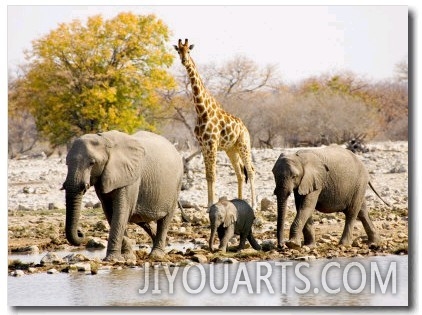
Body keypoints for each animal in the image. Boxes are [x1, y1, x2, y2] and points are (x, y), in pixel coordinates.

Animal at [61, 130, 184, 262]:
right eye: (66, 163)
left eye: (92, 163)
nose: (80, 232)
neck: (104, 139)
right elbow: (111, 212)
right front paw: (126, 256)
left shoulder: (130, 177)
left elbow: (121, 212)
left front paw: (112, 259)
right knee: (140, 219)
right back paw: (165, 243)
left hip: (176, 186)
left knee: (164, 220)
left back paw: (157, 255)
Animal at [173, 39, 256, 210]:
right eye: (178, 51)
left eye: (189, 51)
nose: (184, 61)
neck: (201, 110)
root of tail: (245, 128)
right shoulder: (204, 145)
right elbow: (207, 175)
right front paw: (208, 204)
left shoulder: (211, 144)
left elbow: (213, 175)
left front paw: (211, 204)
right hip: (231, 149)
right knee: (239, 173)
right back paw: (240, 201)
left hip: (244, 144)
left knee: (250, 171)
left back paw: (254, 204)